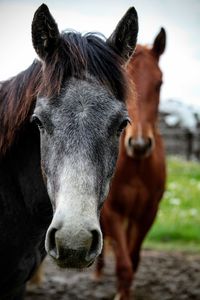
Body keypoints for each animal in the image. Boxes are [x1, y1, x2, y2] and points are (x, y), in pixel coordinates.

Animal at [96, 28, 166, 300]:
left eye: (159, 83)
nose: (139, 144)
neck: (136, 166)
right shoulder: (112, 212)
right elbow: (124, 264)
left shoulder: (148, 213)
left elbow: (133, 260)